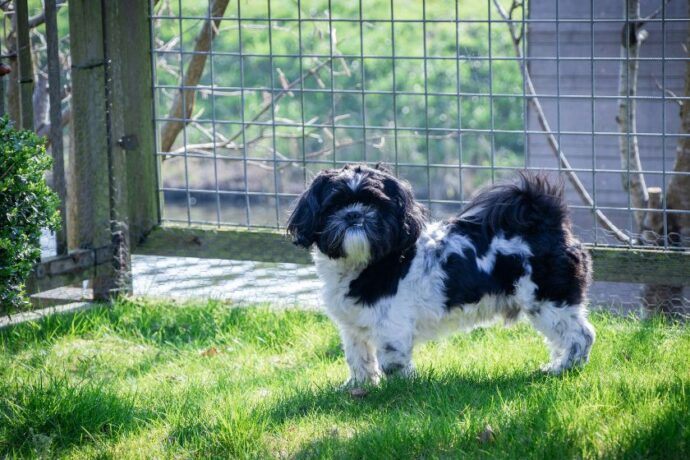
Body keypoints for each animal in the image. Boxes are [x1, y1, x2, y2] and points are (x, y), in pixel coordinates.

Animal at [284, 164, 592, 386]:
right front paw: (358, 387)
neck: (366, 263)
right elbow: (359, 358)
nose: (354, 214)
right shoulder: (353, 327)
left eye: (375, 203)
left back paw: (565, 368)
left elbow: (392, 362)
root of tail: (545, 219)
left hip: (549, 300)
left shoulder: (392, 326)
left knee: (581, 335)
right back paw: (557, 364)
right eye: (334, 204)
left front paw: (399, 391)